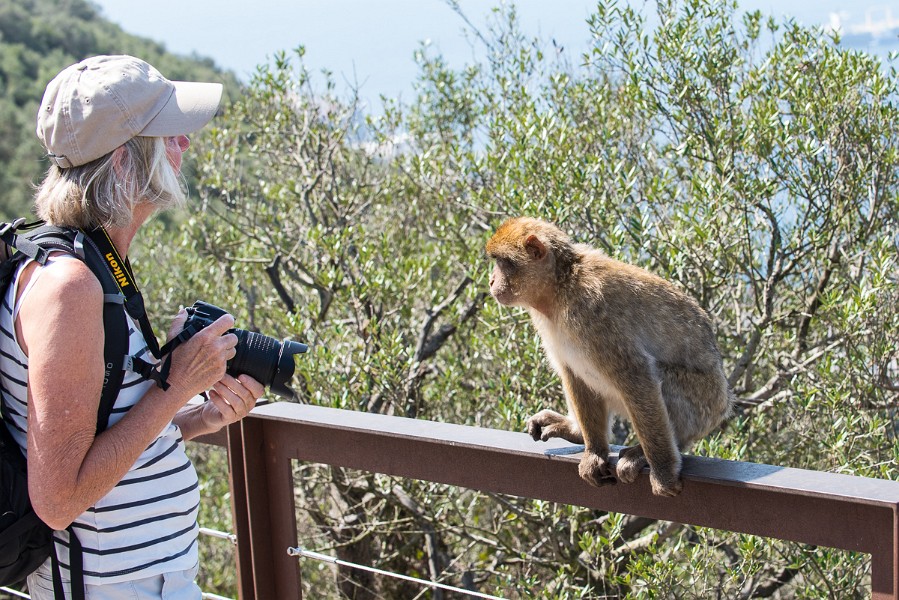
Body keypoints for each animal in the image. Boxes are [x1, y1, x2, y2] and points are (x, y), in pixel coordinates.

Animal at [488, 216, 736, 496]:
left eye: (503, 263)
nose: (491, 281)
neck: (561, 286)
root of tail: (724, 403)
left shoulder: (593, 311)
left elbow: (636, 375)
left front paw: (663, 471)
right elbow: (572, 372)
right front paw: (595, 451)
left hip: (703, 405)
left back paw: (650, 452)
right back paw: (576, 430)